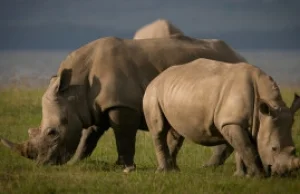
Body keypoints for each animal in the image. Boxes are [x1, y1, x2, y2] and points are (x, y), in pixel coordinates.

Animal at [0, 35, 248, 172]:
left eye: (52, 132)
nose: (43, 164)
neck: (75, 89)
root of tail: (240, 56)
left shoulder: (121, 105)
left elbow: (123, 136)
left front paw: (125, 167)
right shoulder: (91, 107)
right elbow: (88, 137)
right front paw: (75, 163)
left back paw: (208, 167)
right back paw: (206, 167)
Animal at [144, 58, 298, 177]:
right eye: (274, 148)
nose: (285, 174)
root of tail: (157, 77)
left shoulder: (237, 122)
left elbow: (240, 149)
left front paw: (242, 176)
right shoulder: (232, 122)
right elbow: (246, 147)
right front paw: (257, 176)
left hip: (176, 92)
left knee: (176, 133)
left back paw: (174, 171)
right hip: (153, 93)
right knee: (159, 131)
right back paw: (164, 172)